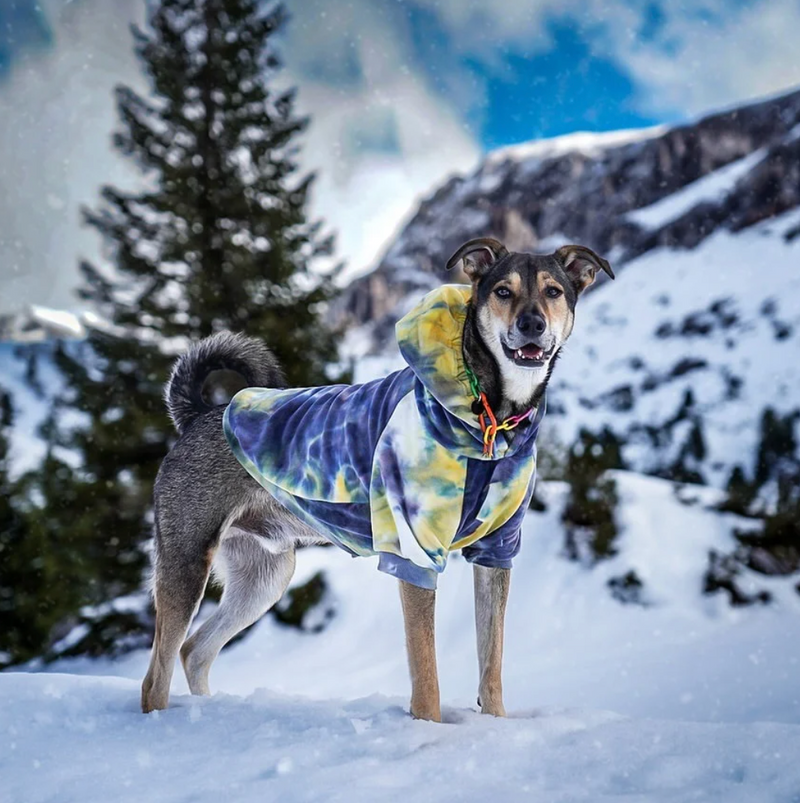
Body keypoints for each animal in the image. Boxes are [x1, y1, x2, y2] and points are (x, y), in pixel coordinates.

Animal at [142, 239, 612, 724]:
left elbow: (491, 661)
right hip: (188, 561)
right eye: (503, 291)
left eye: (554, 291)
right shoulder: (415, 553)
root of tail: (198, 415)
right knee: (156, 676)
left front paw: (495, 723)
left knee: (196, 651)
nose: (532, 324)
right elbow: (426, 674)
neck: (491, 418)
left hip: (264, 577)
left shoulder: (496, 551)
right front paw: (429, 729)